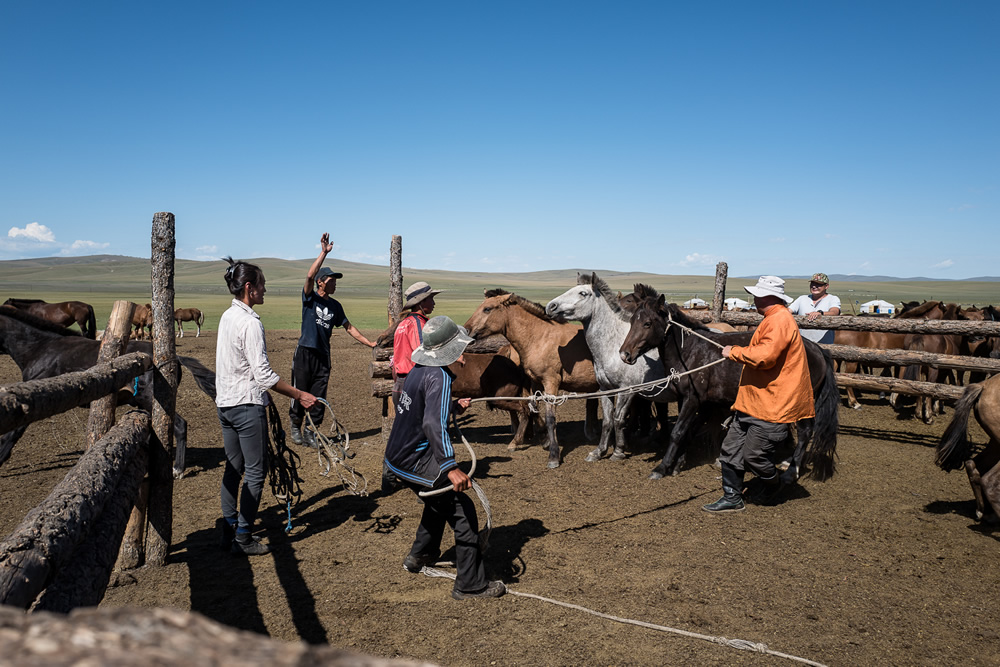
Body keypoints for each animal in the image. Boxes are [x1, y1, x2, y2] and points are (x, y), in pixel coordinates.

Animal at [0, 306, 217, 478]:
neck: (39, 348)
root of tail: (174, 359)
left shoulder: (31, 404)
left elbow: (11, 434)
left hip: (149, 399)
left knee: (180, 425)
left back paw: (177, 469)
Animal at [464, 288, 596, 470]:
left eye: (487, 309)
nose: (466, 330)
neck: (540, 338)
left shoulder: (551, 383)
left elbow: (550, 418)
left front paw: (553, 455)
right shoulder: (535, 382)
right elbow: (532, 408)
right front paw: (543, 440)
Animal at [548, 274, 672, 468]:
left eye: (583, 293)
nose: (550, 306)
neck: (613, 346)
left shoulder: (626, 391)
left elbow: (618, 419)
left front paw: (618, 451)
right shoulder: (606, 390)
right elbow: (607, 420)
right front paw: (598, 452)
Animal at [616, 290, 836, 482]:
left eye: (647, 323)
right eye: (632, 321)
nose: (625, 354)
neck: (691, 351)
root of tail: (816, 349)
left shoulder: (692, 400)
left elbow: (677, 432)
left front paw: (662, 467)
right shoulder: (690, 400)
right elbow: (687, 429)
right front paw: (678, 463)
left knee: (805, 432)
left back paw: (791, 470)